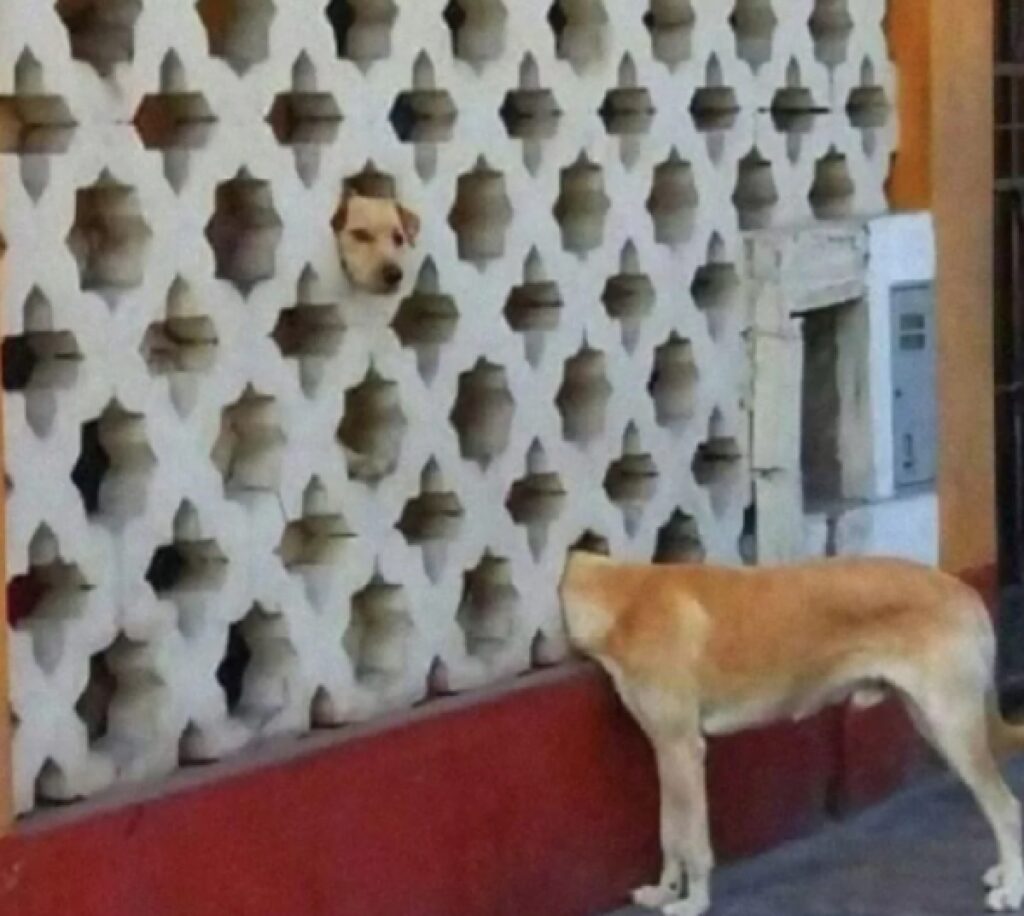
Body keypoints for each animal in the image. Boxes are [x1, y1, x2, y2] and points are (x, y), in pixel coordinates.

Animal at [565, 552, 1024, 916]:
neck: (622, 598)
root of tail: (964, 590)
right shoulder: (665, 749)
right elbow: (669, 831)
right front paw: (665, 890)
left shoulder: (684, 749)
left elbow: (692, 840)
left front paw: (694, 902)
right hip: (935, 725)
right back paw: (1006, 872)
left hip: (953, 728)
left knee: (1006, 809)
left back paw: (1013, 890)